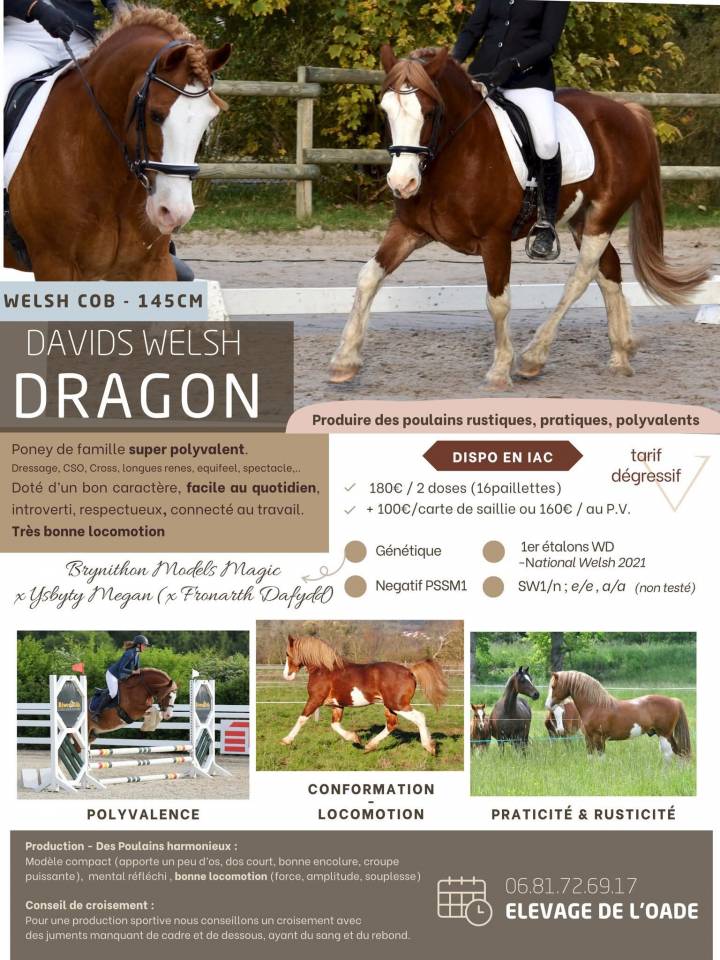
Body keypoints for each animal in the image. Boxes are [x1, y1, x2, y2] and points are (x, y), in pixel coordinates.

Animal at [281, 634, 448, 755]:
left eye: (287, 654)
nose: (287, 676)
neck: (324, 670)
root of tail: (410, 671)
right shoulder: (338, 705)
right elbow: (335, 725)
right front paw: (355, 739)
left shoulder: (315, 700)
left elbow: (302, 719)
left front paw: (286, 740)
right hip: (390, 706)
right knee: (392, 724)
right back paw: (370, 746)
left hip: (398, 704)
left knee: (419, 717)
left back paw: (429, 747)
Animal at [329, 45, 709, 389]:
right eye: (386, 110)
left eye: (431, 110)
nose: (402, 183)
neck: (456, 153)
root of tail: (628, 112)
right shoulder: (408, 229)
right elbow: (368, 277)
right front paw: (344, 361)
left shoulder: (494, 239)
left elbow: (498, 302)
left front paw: (500, 370)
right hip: (580, 218)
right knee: (609, 269)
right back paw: (620, 354)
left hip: (602, 216)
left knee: (581, 276)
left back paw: (533, 357)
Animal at [546, 670, 691, 758]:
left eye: (553, 686)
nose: (547, 705)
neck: (595, 706)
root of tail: (674, 701)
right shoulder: (588, 738)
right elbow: (590, 757)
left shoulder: (599, 738)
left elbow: (601, 758)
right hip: (666, 735)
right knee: (680, 752)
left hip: (664, 734)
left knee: (669, 754)